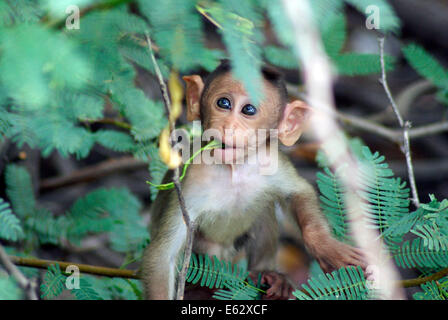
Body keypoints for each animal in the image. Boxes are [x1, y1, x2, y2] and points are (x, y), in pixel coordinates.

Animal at [142, 60, 366, 300]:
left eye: (248, 110)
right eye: (223, 103)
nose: (228, 127)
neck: (234, 170)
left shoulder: (271, 159)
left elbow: (298, 192)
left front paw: (325, 246)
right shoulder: (189, 182)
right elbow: (162, 256)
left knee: (263, 208)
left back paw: (266, 274)